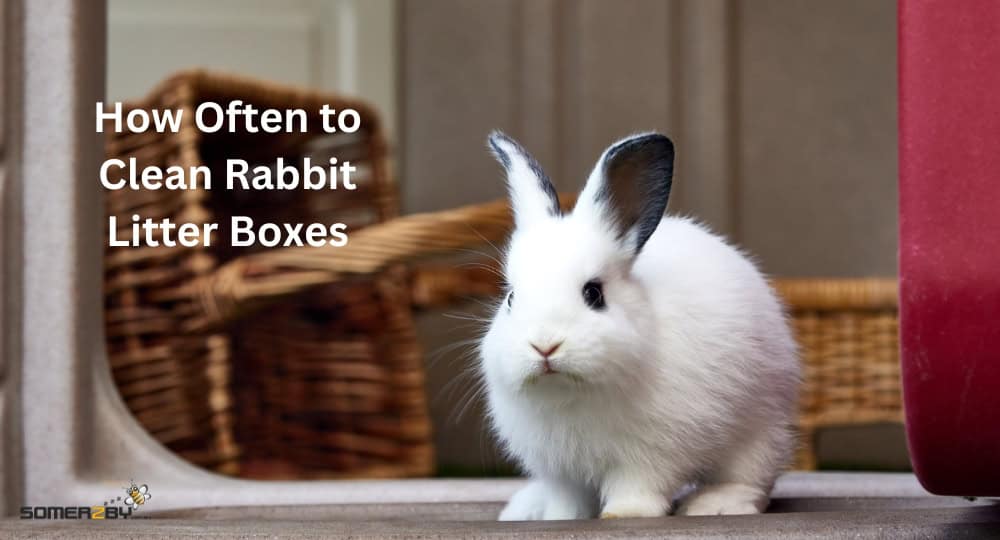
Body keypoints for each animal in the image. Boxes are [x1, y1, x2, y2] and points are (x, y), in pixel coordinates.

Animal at [479, 131, 800, 520]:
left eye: (594, 293)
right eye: (511, 298)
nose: (544, 345)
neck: (569, 394)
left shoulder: (651, 454)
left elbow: (637, 486)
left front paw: (626, 513)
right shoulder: (559, 470)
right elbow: (567, 499)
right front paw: (561, 517)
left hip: (759, 434)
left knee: (751, 482)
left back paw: (715, 504)